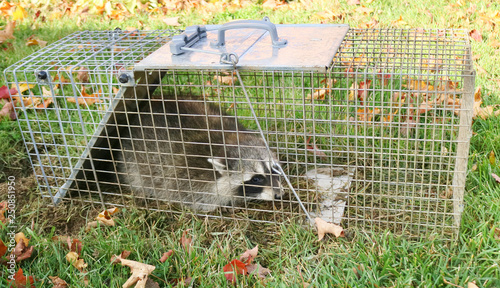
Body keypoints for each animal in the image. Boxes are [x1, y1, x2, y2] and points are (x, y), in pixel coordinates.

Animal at [114, 95, 284, 210]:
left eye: (274, 169)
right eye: (256, 179)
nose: (279, 195)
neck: (228, 141)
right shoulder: (186, 177)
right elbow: (200, 198)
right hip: (132, 162)